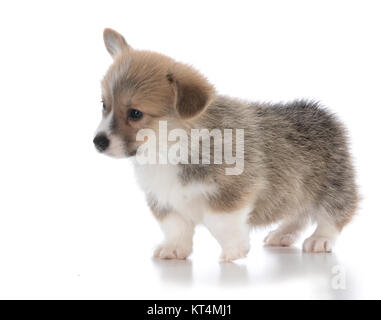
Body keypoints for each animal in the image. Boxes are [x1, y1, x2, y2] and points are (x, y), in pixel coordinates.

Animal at [94, 28, 356, 262]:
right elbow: (176, 227)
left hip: (333, 185)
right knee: (297, 215)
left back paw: (320, 239)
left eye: (135, 113)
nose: (97, 142)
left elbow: (221, 223)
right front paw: (174, 249)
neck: (169, 147)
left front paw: (234, 252)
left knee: (336, 213)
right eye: (104, 105)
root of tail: (321, 113)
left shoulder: (232, 193)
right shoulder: (164, 200)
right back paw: (283, 234)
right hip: (295, 193)